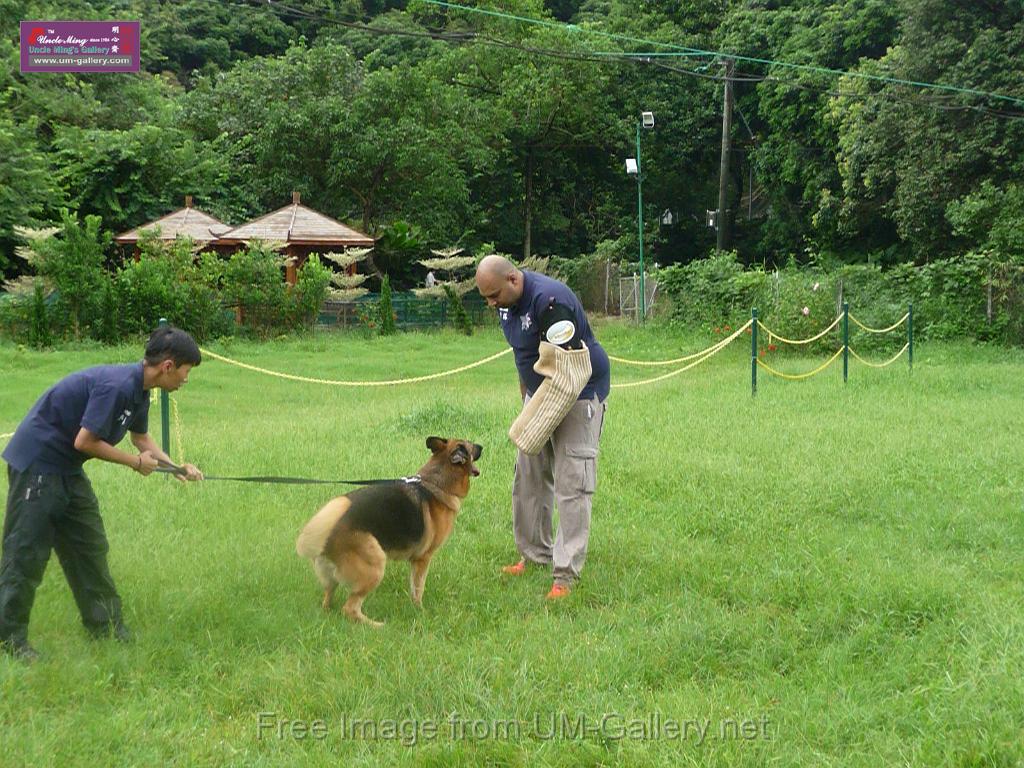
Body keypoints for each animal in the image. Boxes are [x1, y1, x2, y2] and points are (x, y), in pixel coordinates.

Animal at [296, 438, 483, 626]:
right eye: (471, 446)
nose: (482, 446)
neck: (435, 482)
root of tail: (327, 535)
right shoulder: (423, 559)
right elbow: (418, 589)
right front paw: (420, 611)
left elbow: (413, 587)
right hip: (375, 565)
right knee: (350, 609)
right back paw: (377, 625)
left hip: (333, 578)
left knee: (328, 599)